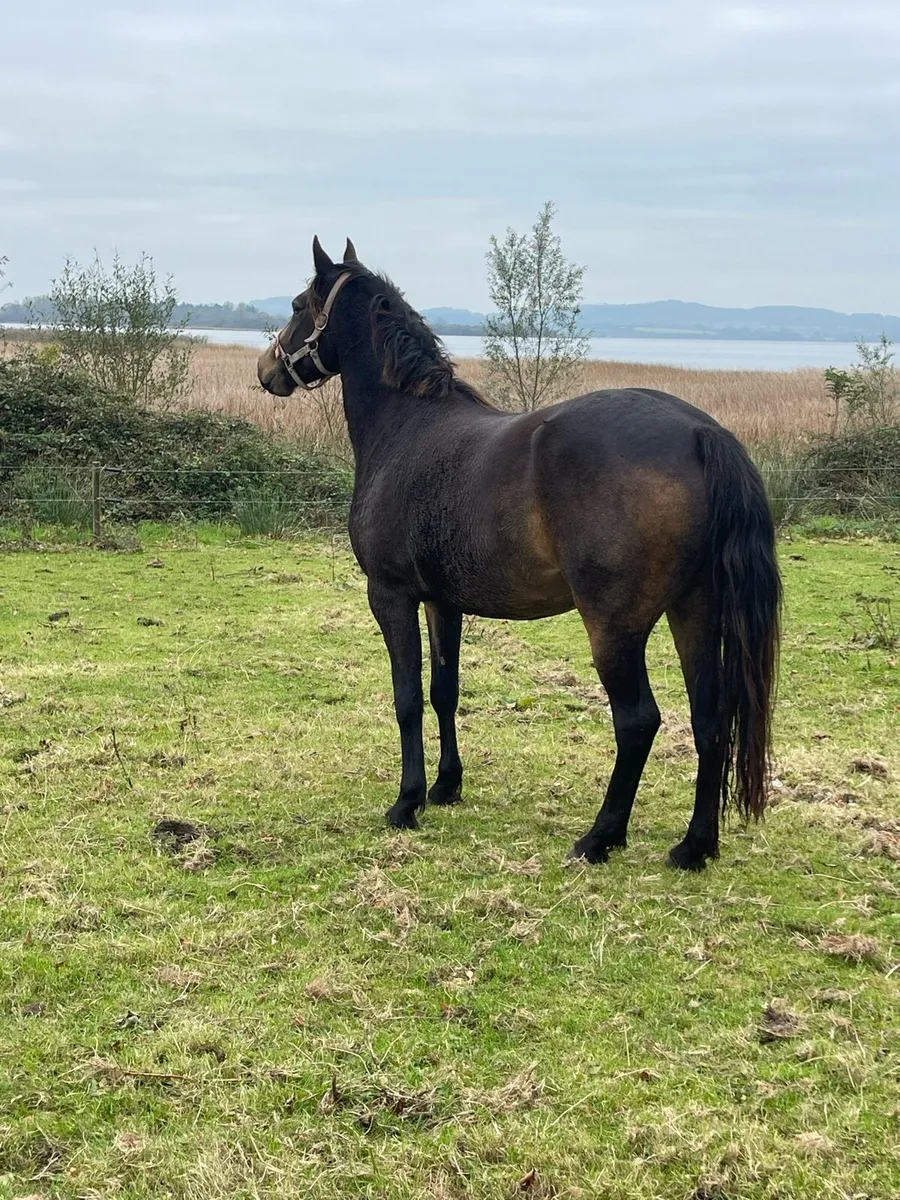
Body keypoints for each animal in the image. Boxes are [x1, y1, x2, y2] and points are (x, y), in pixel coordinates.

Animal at [257, 237, 781, 870]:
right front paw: (446, 786)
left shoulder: (391, 595)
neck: (406, 427)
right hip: (695, 611)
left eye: (297, 305)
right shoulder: (443, 602)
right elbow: (444, 692)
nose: (266, 370)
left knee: (637, 723)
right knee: (709, 719)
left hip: (615, 628)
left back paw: (600, 837)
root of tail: (702, 433)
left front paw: (408, 802)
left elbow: (407, 698)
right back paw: (694, 846)